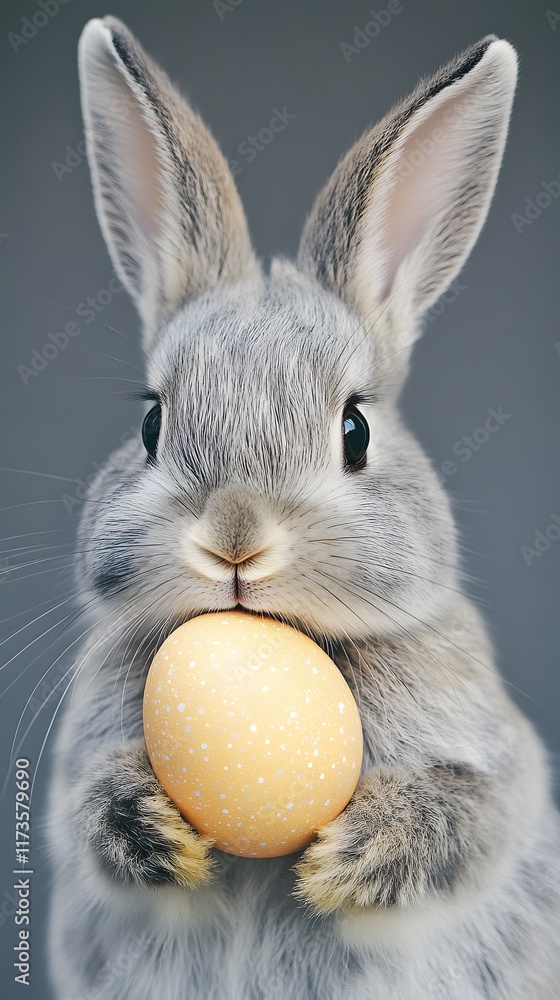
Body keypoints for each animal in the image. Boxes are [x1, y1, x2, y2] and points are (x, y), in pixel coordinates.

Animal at [46, 16, 560, 1000]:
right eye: (151, 424)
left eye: (355, 429)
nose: (235, 539)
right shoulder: (69, 782)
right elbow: (88, 813)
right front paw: (156, 828)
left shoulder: (498, 782)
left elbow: (470, 818)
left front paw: (347, 860)